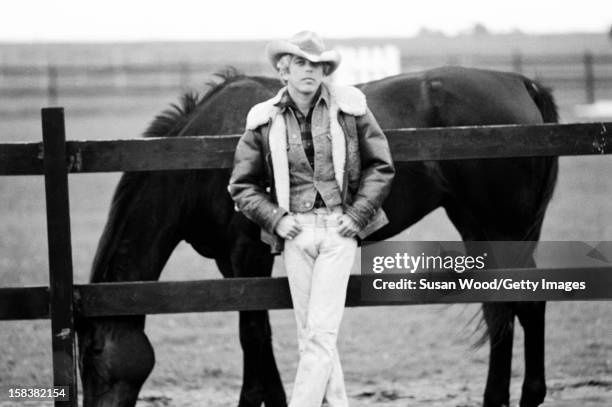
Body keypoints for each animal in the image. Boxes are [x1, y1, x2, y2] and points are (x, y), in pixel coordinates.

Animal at [76, 65, 560, 406]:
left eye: (95, 354)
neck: (194, 159)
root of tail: (522, 84)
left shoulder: (246, 255)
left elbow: (253, 334)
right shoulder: (231, 264)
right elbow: (256, 335)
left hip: (501, 229)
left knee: (526, 304)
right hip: (478, 227)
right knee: (501, 307)